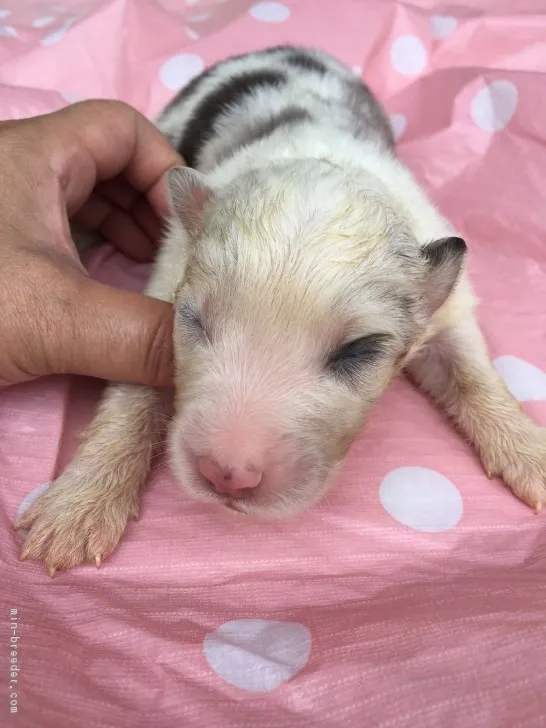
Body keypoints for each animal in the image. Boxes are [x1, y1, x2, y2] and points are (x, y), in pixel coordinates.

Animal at [15, 45, 544, 576]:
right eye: (194, 321)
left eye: (358, 352)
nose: (226, 475)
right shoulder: (168, 273)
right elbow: (132, 396)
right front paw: (79, 504)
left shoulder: (448, 301)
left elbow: (473, 373)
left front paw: (529, 451)